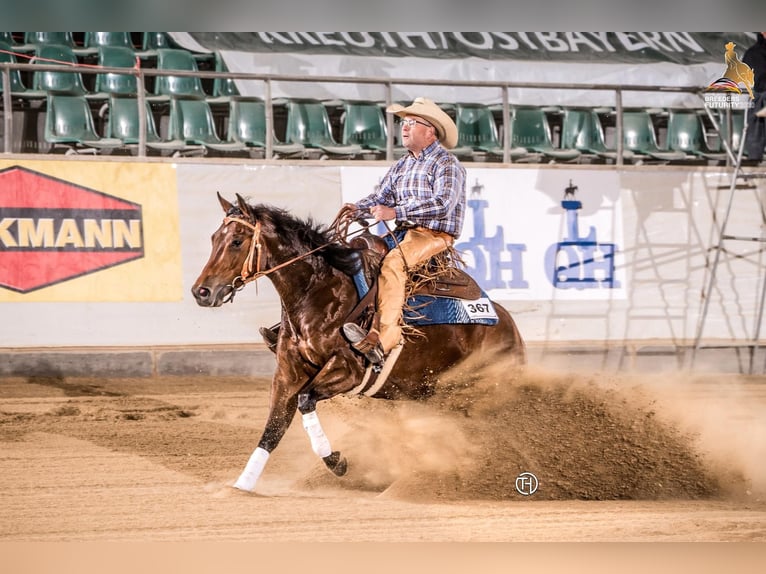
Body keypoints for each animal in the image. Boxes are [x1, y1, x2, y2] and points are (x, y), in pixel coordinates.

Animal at [192, 195, 528, 496]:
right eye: (213, 238)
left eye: (237, 241)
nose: (201, 292)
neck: (319, 292)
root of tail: (509, 325)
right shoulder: (287, 375)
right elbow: (272, 430)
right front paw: (240, 486)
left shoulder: (348, 371)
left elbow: (305, 400)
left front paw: (337, 462)